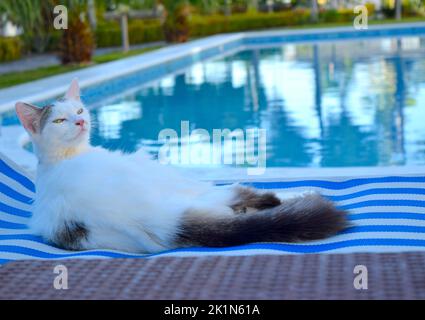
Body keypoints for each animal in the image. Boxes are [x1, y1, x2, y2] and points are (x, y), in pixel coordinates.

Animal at [15, 79, 348, 252]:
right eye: (60, 120)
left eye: (80, 110)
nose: (81, 121)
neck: (65, 157)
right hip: (169, 177)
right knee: (247, 194)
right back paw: (302, 193)